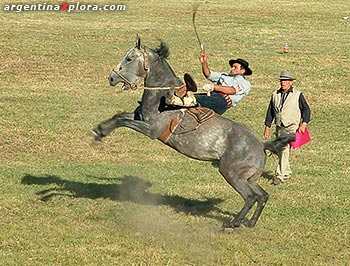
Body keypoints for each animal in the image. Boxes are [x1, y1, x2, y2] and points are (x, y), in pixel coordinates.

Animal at [91, 36, 294, 230]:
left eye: (129, 58)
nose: (111, 78)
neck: (162, 96)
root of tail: (261, 144)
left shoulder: (151, 129)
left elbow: (123, 121)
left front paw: (100, 133)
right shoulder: (139, 116)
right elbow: (119, 116)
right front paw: (99, 131)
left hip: (232, 173)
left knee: (251, 197)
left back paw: (232, 224)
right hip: (250, 178)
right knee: (262, 196)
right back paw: (249, 223)